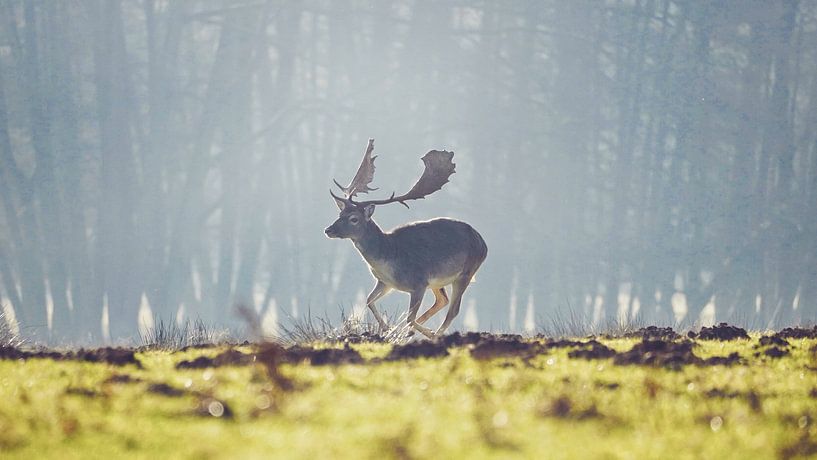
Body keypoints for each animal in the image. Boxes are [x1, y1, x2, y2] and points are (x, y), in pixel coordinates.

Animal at [325, 139, 487, 339]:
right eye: (340, 214)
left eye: (354, 218)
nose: (328, 230)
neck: (388, 257)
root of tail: (483, 242)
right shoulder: (385, 282)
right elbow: (369, 300)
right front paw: (387, 328)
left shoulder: (419, 282)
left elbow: (410, 317)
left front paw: (405, 330)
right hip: (438, 281)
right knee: (442, 300)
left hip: (466, 272)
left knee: (453, 310)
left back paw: (433, 334)